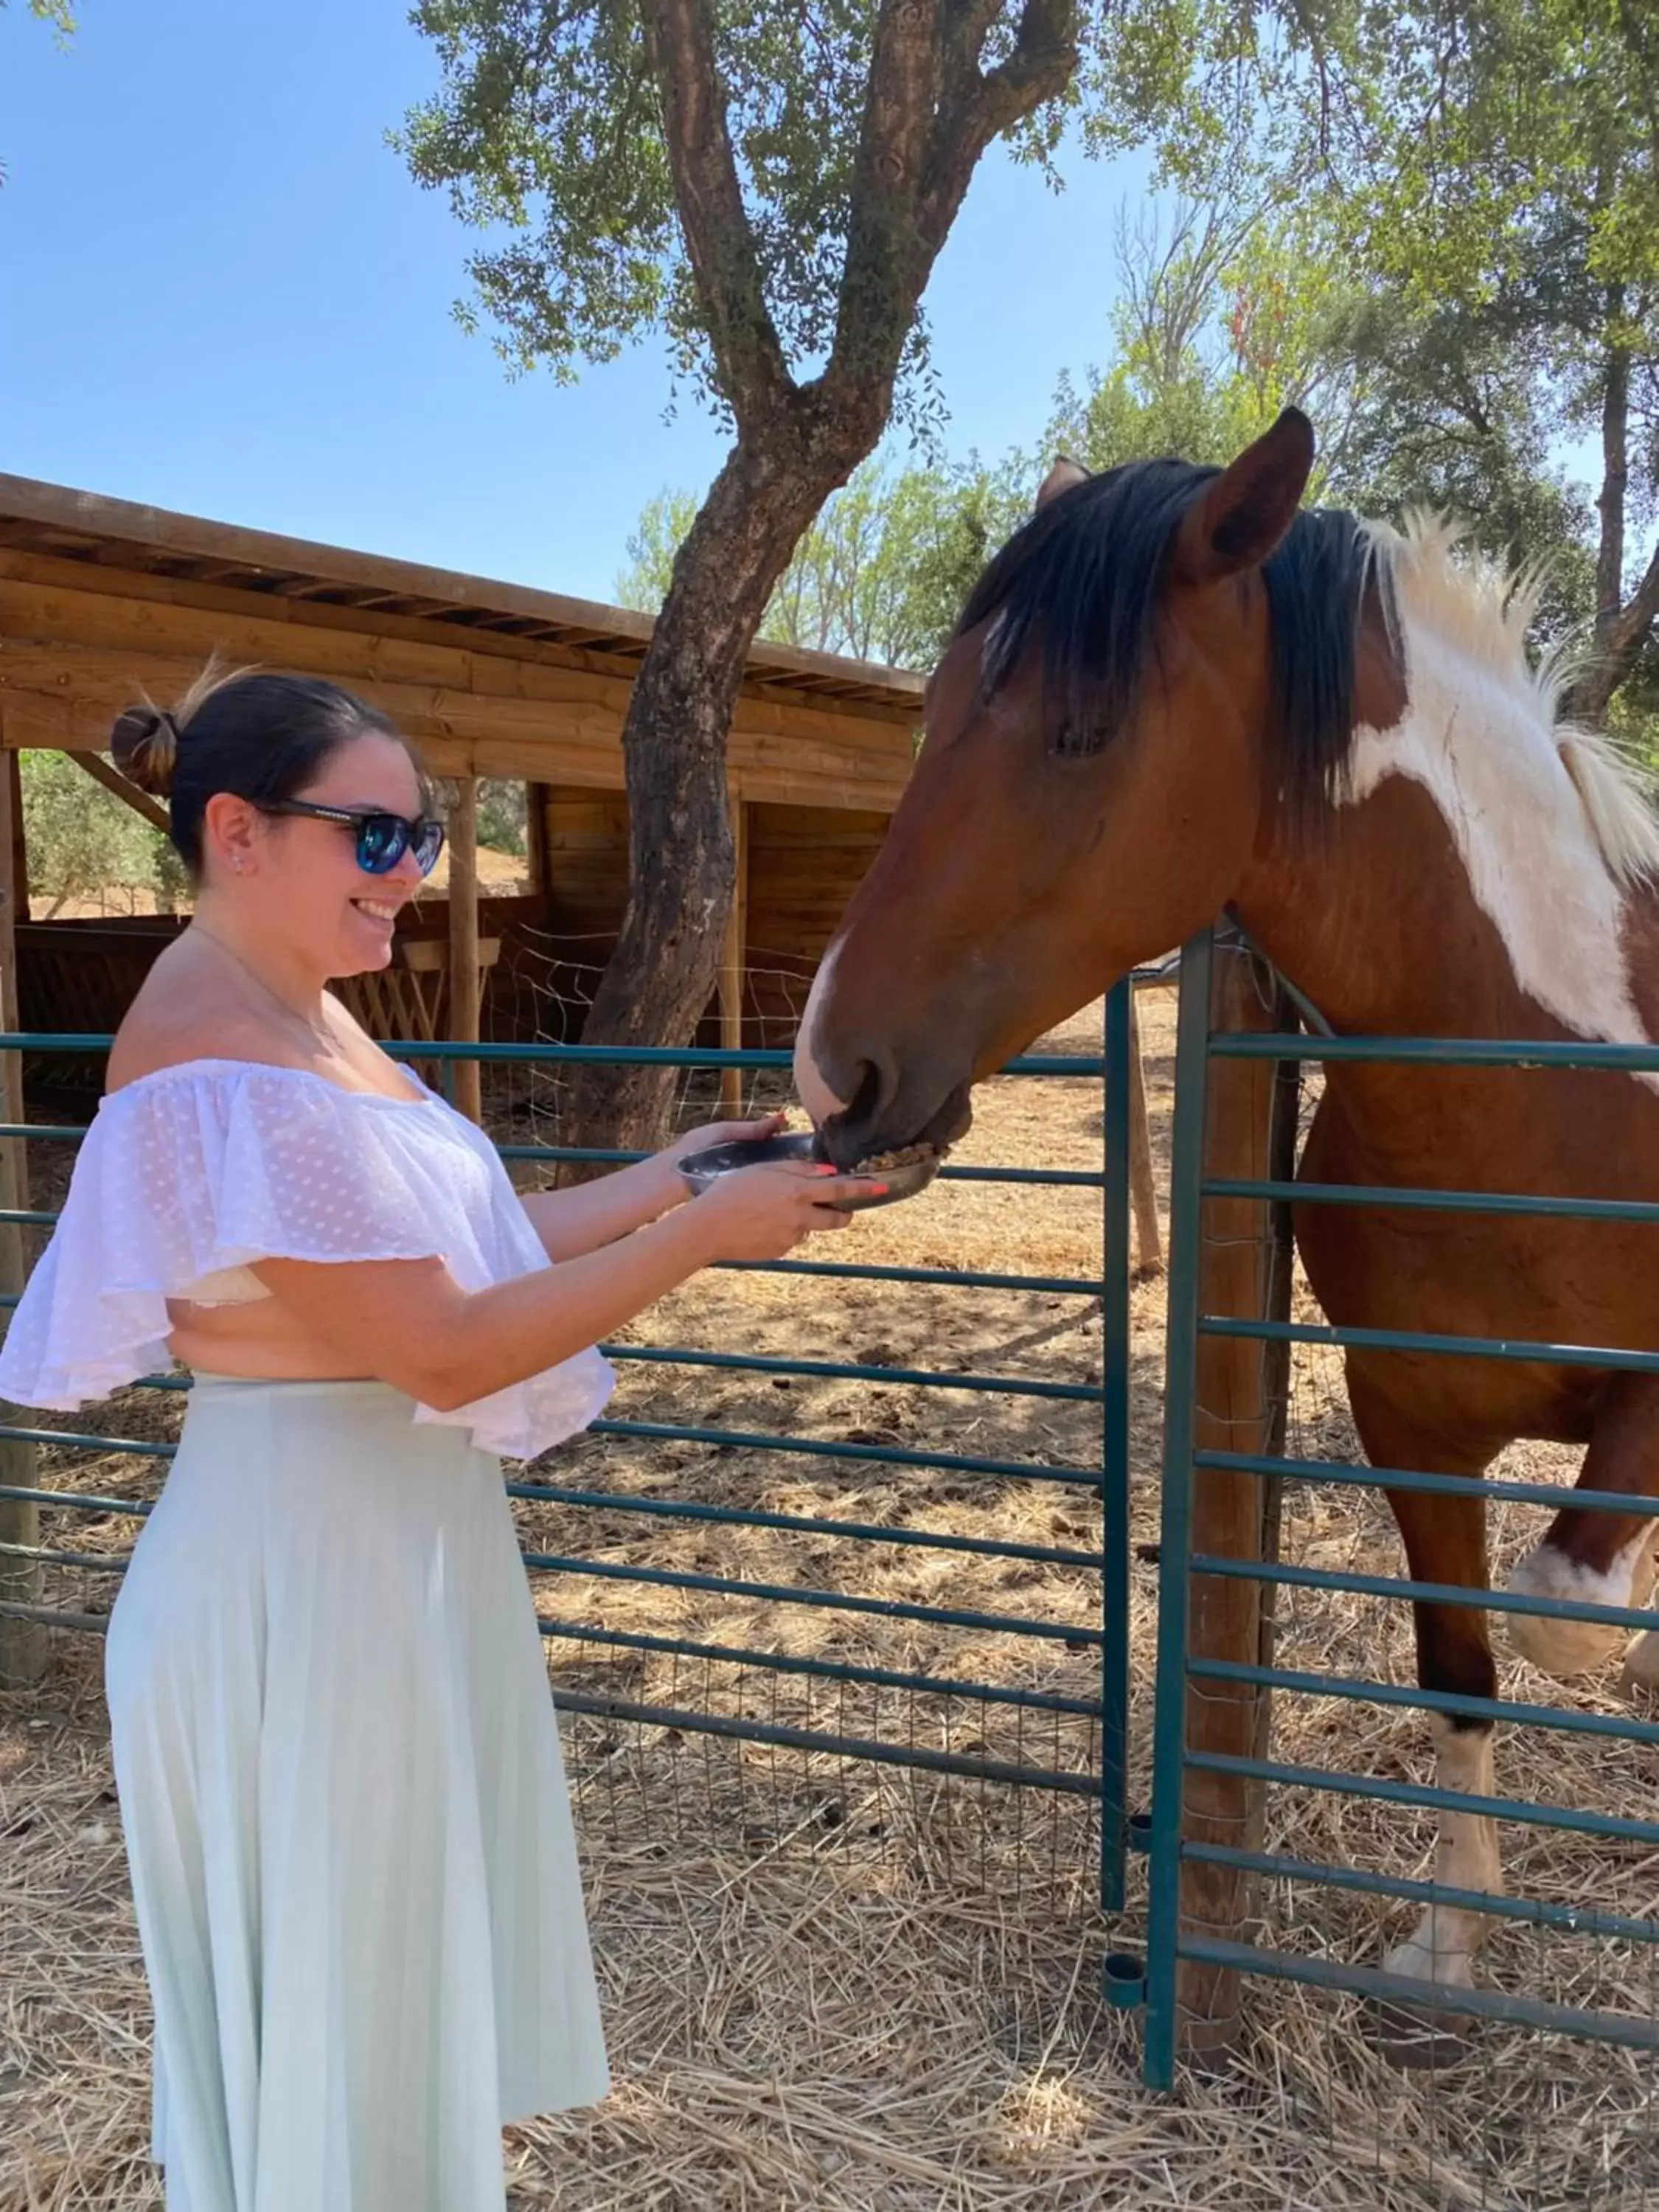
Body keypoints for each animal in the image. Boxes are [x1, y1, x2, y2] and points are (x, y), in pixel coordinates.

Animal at [792, 411, 1659, 2008]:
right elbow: (1466, 1662)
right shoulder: (1411, 1421)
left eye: (1084, 728)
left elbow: (1566, 1606)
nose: (834, 1069)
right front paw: (1452, 1935)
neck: (1553, 1088)